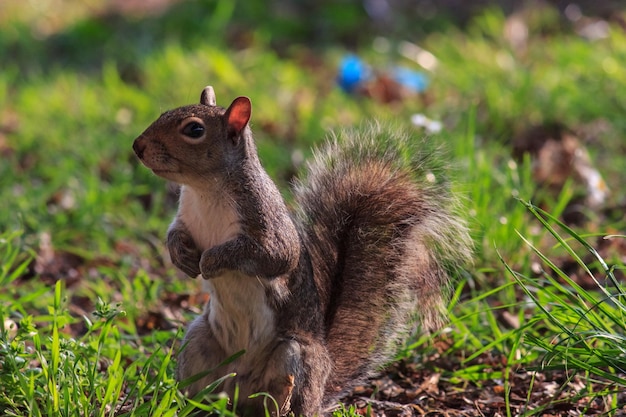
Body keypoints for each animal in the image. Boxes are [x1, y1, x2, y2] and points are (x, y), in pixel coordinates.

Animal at [134, 86, 470, 414]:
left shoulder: (267, 225)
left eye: (194, 129)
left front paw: (210, 261)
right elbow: (175, 235)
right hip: (198, 341)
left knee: (290, 393)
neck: (206, 190)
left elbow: (273, 256)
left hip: (295, 354)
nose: (137, 146)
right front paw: (182, 257)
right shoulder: (185, 217)